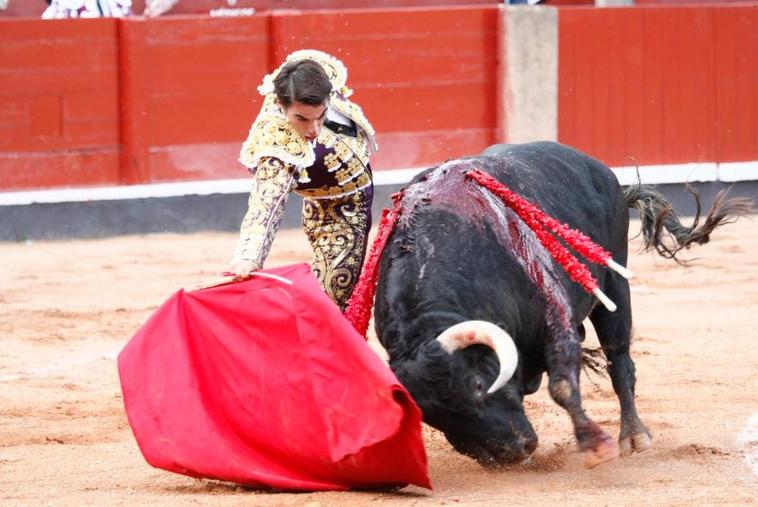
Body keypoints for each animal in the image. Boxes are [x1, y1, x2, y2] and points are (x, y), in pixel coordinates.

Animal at [374, 142, 756, 468]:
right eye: (432, 417)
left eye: (478, 386)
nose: (514, 452)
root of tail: (601, 171)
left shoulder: (554, 318)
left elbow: (561, 386)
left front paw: (596, 446)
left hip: (614, 285)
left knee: (620, 361)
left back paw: (634, 436)